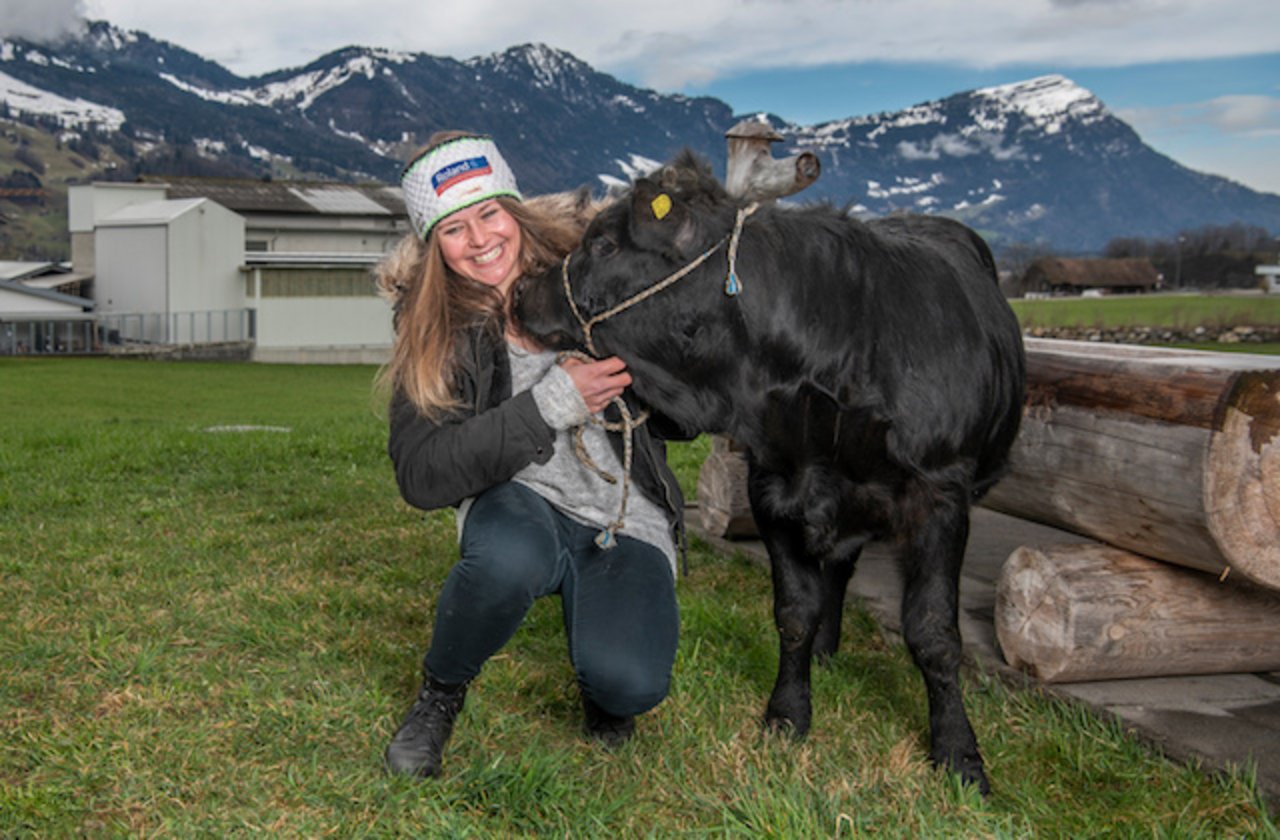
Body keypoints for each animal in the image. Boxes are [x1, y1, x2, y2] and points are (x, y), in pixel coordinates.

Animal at [514, 152, 1024, 793]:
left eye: (603, 244)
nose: (521, 289)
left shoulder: (941, 494)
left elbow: (933, 632)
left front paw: (958, 752)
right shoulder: (773, 487)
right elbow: (795, 613)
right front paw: (788, 712)